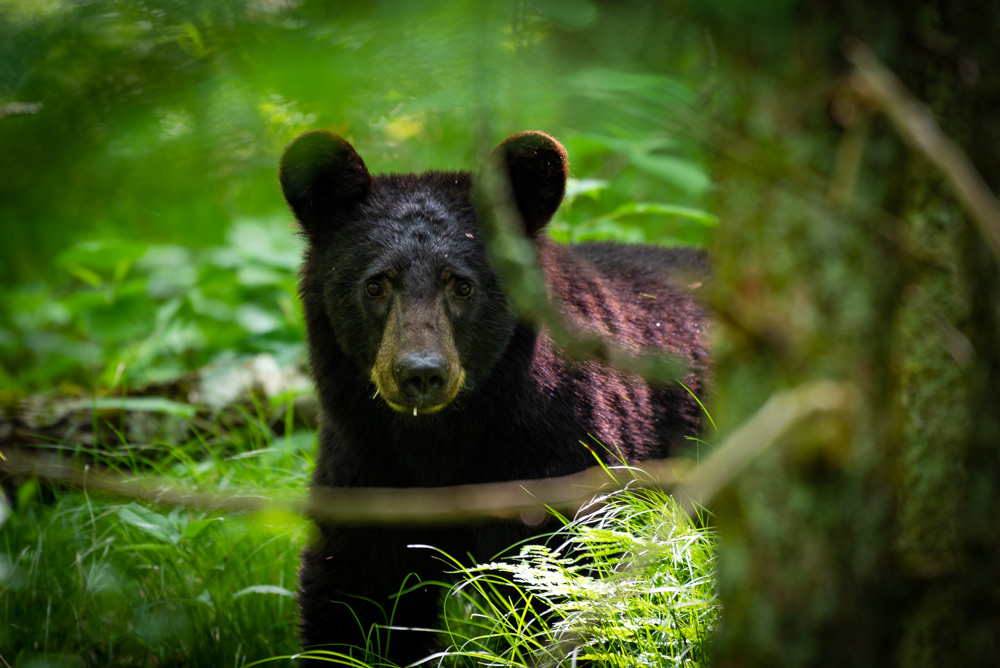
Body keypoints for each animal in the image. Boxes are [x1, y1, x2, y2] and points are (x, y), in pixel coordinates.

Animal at [278, 129, 710, 666]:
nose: (421, 373)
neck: (440, 440)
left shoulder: (557, 454)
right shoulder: (366, 464)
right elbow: (359, 598)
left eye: (462, 285)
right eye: (376, 284)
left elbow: (564, 583)